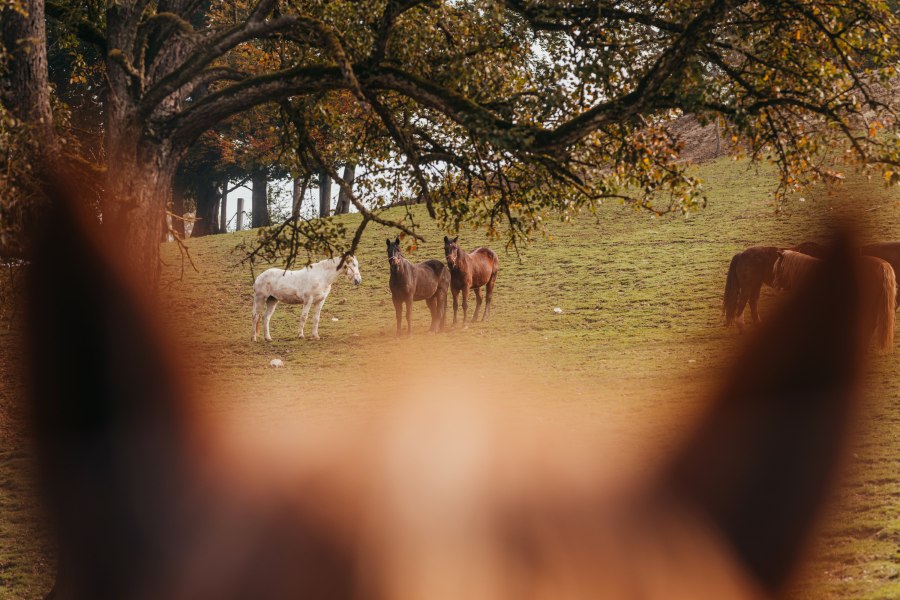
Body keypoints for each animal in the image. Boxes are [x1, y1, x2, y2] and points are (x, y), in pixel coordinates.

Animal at [22, 181, 870, 600]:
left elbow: (331, 326)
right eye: (363, 261)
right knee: (265, 325)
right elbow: (316, 326)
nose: (375, 279)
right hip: (268, 305)